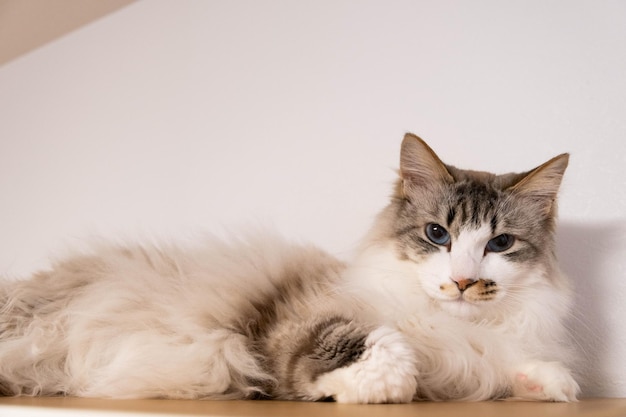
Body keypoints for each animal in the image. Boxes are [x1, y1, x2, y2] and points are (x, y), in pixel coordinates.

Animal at [0, 133, 576, 400]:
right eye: (438, 235)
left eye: (499, 243)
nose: (461, 281)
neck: (447, 329)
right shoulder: (289, 322)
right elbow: (384, 348)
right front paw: (380, 388)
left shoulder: (469, 366)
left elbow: (517, 370)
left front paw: (552, 384)